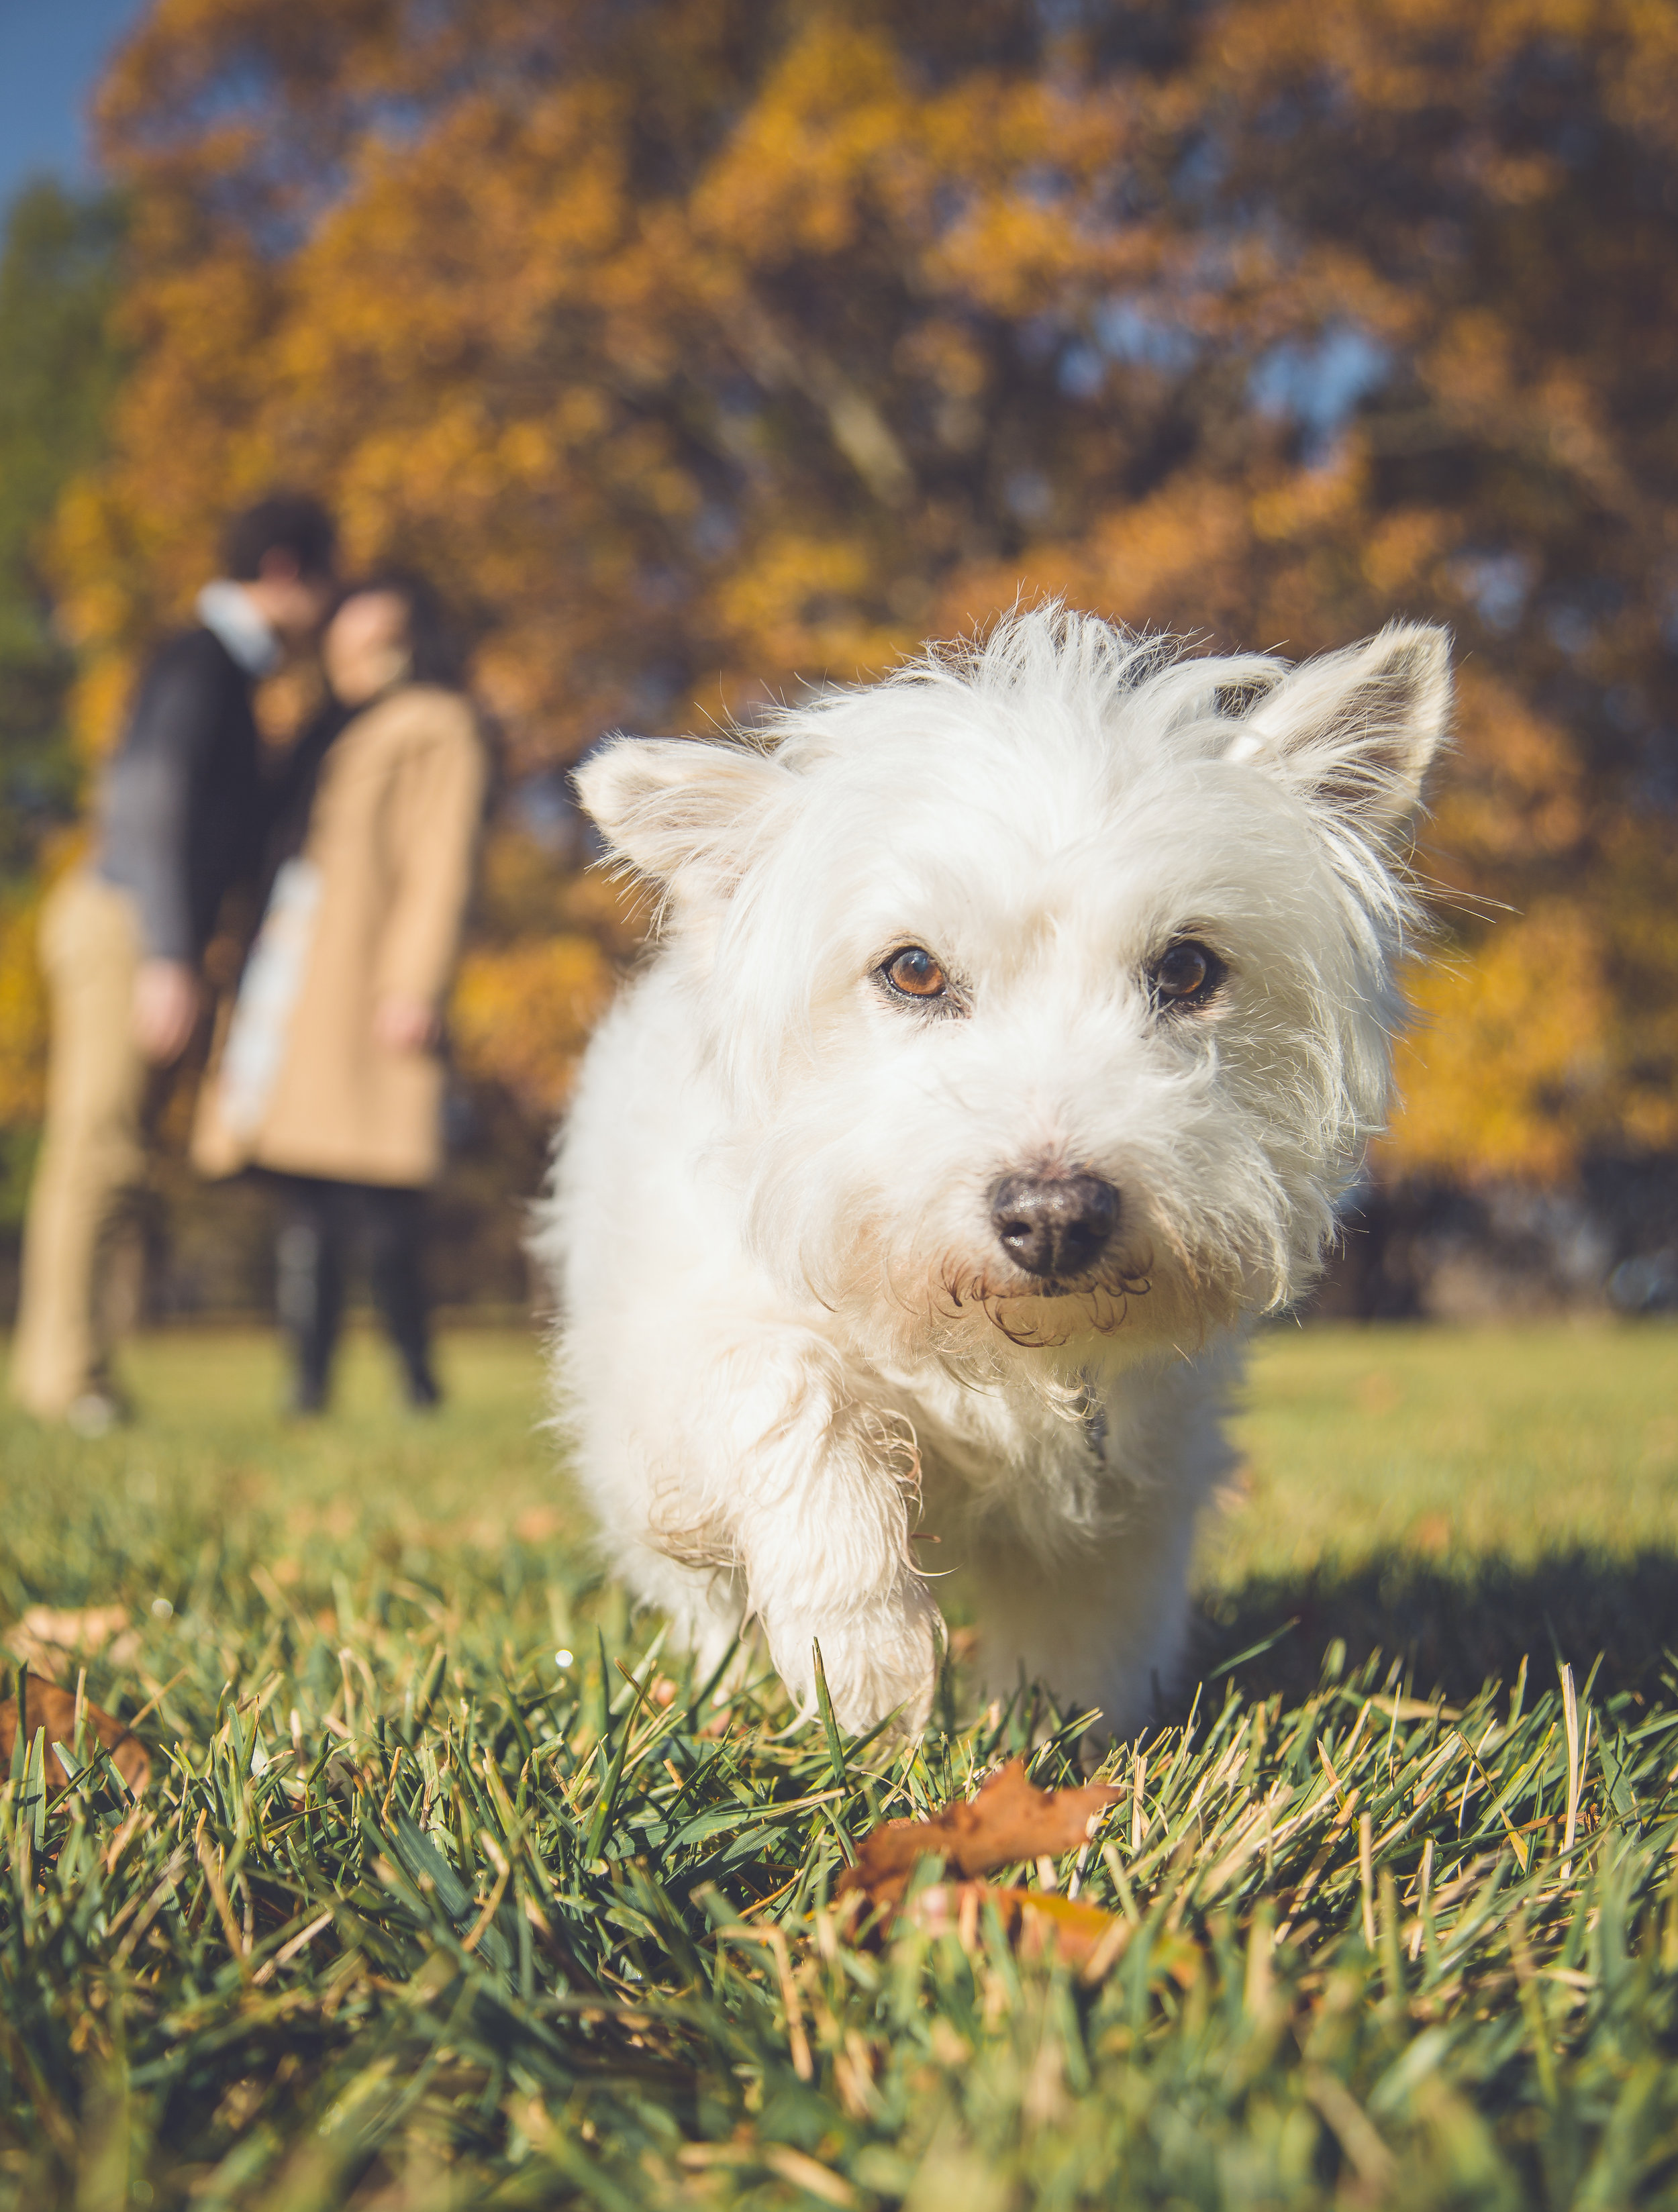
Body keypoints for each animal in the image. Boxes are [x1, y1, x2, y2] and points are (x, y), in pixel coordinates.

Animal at [536, 610, 1443, 1743]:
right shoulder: (663, 1387)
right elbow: (787, 1390)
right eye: (913, 970)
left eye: (1188, 969)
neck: (993, 1354)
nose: (1055, 1218)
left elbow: (1085, 1636)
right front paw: (863, 1657)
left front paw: (1067, 1740)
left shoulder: (1130, 1481)